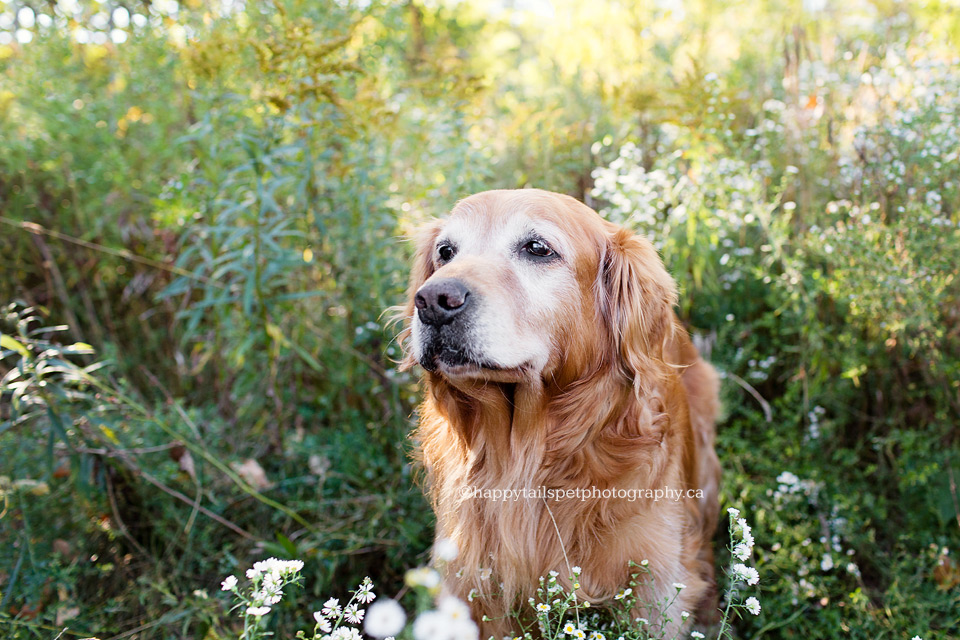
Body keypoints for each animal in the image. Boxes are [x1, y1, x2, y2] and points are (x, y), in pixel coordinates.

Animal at [398, 188, 720, 636]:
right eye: (445, 252)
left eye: (537, 248)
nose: (432, 301)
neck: (528, 454)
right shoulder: (468, 577)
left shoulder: (656, 586)